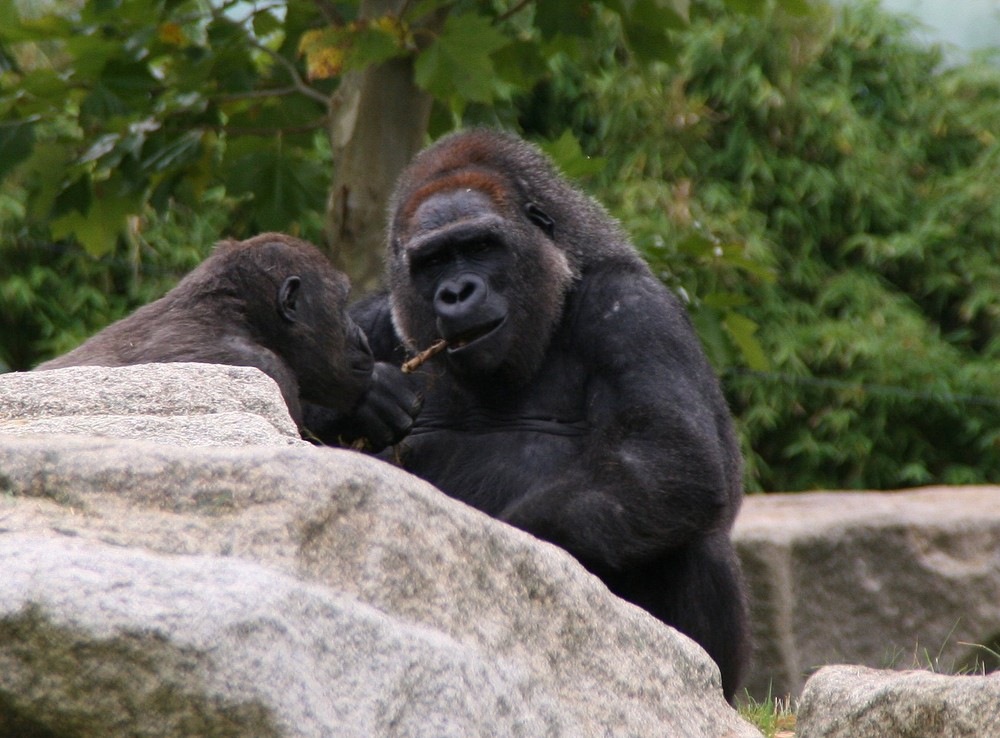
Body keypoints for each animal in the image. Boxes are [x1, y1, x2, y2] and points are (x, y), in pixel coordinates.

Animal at [336, 129, 752, 700]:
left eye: (478, 247)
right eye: (434, 261)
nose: (456, 292)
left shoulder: (633, 307)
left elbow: (672, 455)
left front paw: (501, 551)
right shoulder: (373, 320)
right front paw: (364, 397)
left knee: (691, 530)